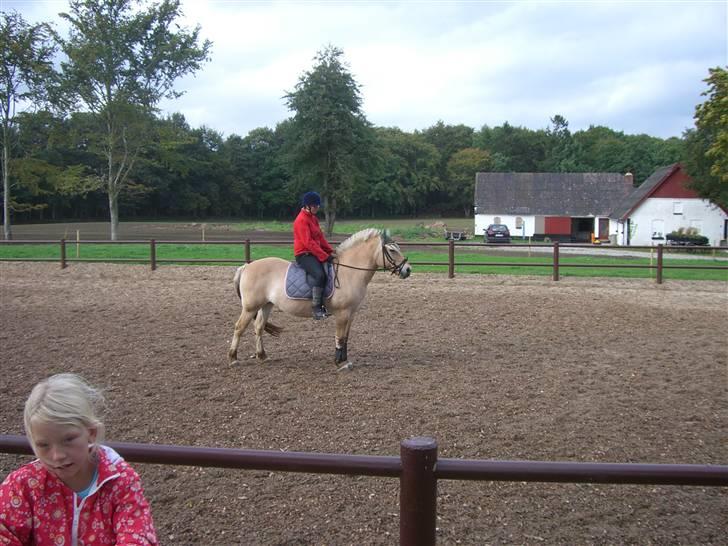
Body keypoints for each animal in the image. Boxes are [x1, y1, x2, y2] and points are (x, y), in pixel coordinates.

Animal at [228, 227, 410, 368]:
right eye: (392, 250)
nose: (408, 269)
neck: (349, 271)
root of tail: (246, 266)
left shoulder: (351, 313)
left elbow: (346, 337)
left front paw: (345, 360)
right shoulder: (342, 313)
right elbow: (340, 336)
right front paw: (339, 362)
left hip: (266, 305)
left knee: (258, 327)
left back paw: (262, 356)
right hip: (250, 308)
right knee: (239, 328)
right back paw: (233, 358)